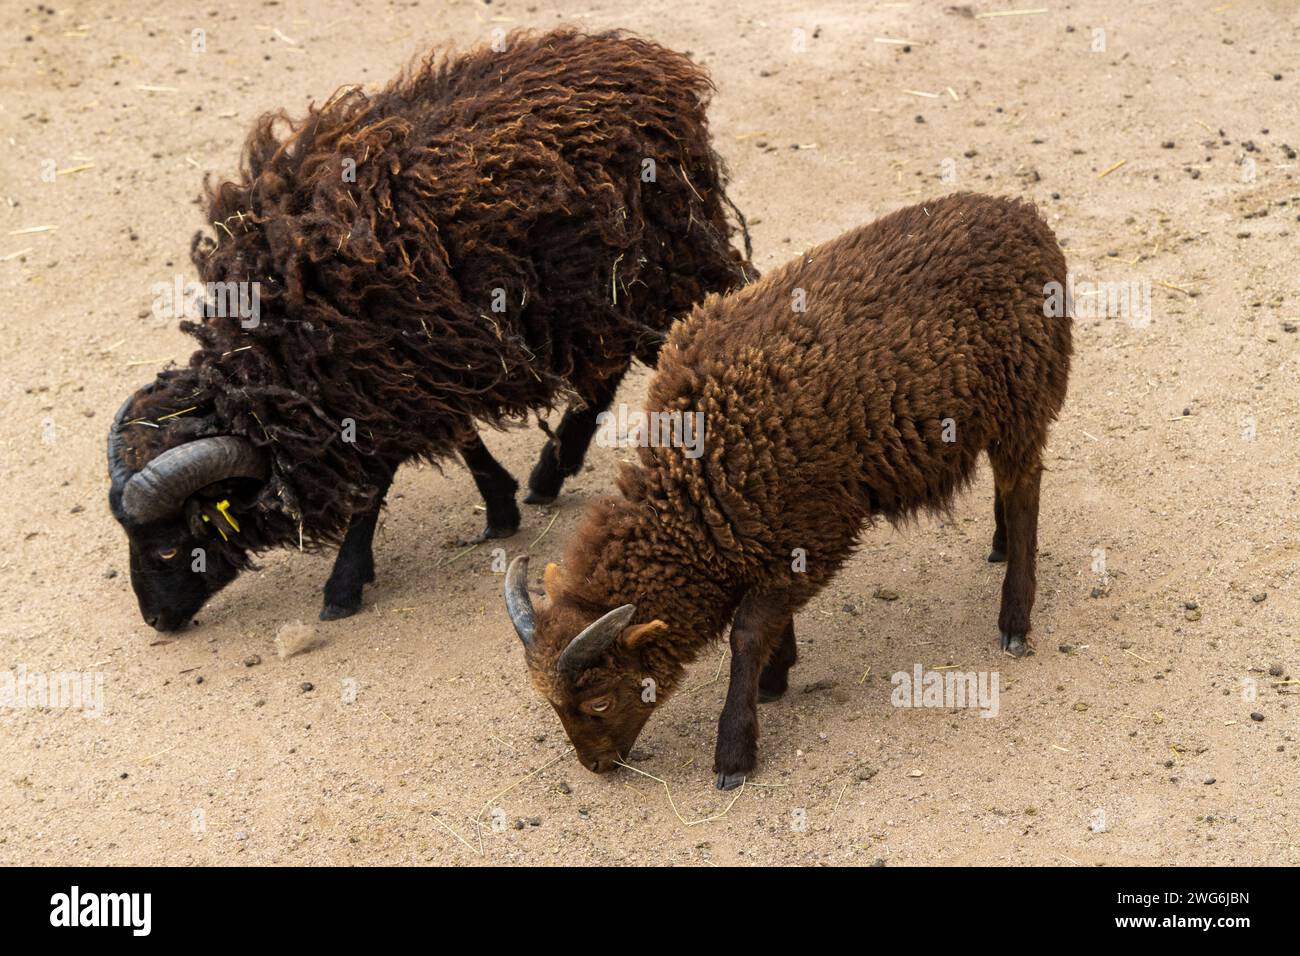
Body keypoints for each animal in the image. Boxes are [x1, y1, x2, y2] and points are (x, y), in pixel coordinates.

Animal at [108, 28, 753, 631]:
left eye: (170, 547)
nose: (156, 620)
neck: (273, 360)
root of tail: (656, 67)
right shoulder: (423, 359)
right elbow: (460, 435)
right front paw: (499, 506)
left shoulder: (378, 374)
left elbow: (374, 483)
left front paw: (342, 587)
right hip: (598, 287)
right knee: (607, 364)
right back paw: (550, 472)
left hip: (656, 264)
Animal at [504, 192, 1073, 789]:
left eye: (598, 701)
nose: (596, 767)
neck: (692, 493)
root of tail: (1024, 216)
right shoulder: (774, 532)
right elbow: (768, 621)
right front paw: (777, 677)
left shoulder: (812, 533)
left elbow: (748, 633)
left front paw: (735, 749)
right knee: (1007, 489)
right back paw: (1000, 545)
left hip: (1023, 396)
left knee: (1023, 489)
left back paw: (1015, 620)